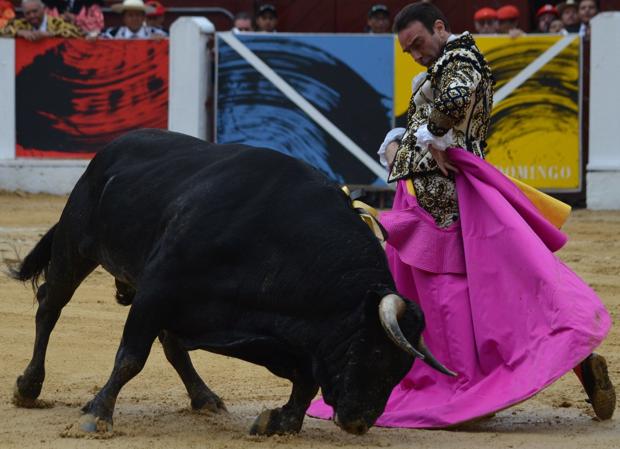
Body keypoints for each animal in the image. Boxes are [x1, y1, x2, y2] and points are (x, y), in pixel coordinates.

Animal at [12, 129, 452, 434]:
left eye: (402, 368)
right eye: (377, 353)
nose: (359, 423)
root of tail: (108, 151)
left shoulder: (267, 330)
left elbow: (306, 379)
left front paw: (278, 421)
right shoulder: (157, 289)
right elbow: (130, 358)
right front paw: (97, 414)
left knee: (172, 347)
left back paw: (204, 397)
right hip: (75, 246)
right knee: (50, 306)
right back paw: (28, 387)